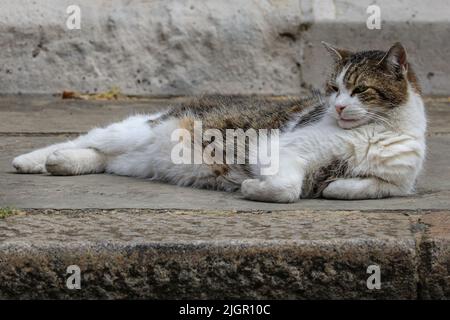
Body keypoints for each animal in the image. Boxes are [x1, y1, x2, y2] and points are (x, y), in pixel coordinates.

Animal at [10, 42, 426, 202]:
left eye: (359, 90)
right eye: (333, 88)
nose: (337, 107)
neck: (377, 131)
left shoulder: (395, 184)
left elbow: (361, 186)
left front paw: (334, 186)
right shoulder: (283, 148)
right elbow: (286, 187)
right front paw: (255, 188)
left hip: (134, 159)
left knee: (99, 157)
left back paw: (63, 164)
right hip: (135, 130)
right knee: (83, 139)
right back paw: (32, 160)